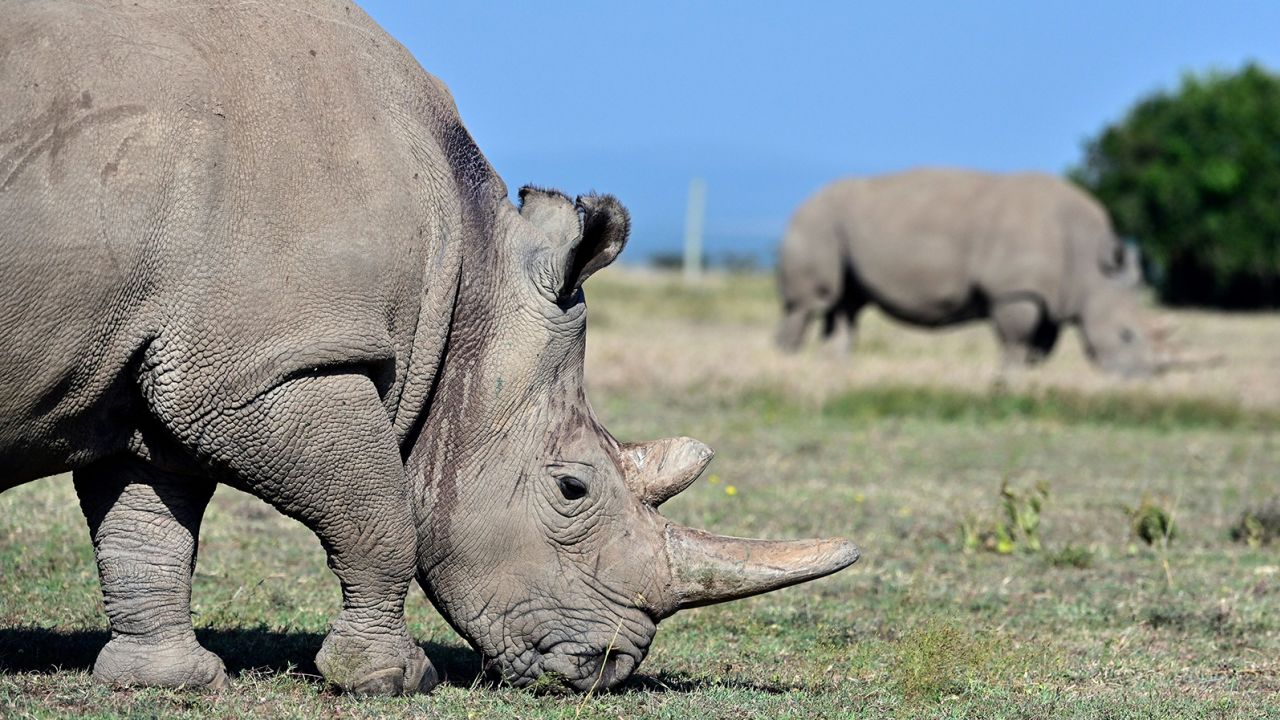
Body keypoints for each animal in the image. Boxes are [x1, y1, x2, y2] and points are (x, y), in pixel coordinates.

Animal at [5, 0, 860, 696]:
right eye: (572, 488)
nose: (605, 668)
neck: (466, 276)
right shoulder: (267, 367)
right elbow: (381, 512)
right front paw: (391, 679)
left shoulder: (170, 365)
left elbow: (148, 524)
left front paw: (167, 683)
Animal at [778, 167, 1172, 376]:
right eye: (1126, 335)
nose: (1141, 379)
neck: (1091, 267)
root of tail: (801, 204)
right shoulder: (1016, 291)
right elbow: (1016, 340)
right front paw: (1009, 376)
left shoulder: (1052, 298)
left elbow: (1041, 347)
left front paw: (1029, 377)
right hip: (815, 223)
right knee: (810, 304)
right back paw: (788, 364)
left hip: (835, 225)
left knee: (846, 306)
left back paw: (835, 369)